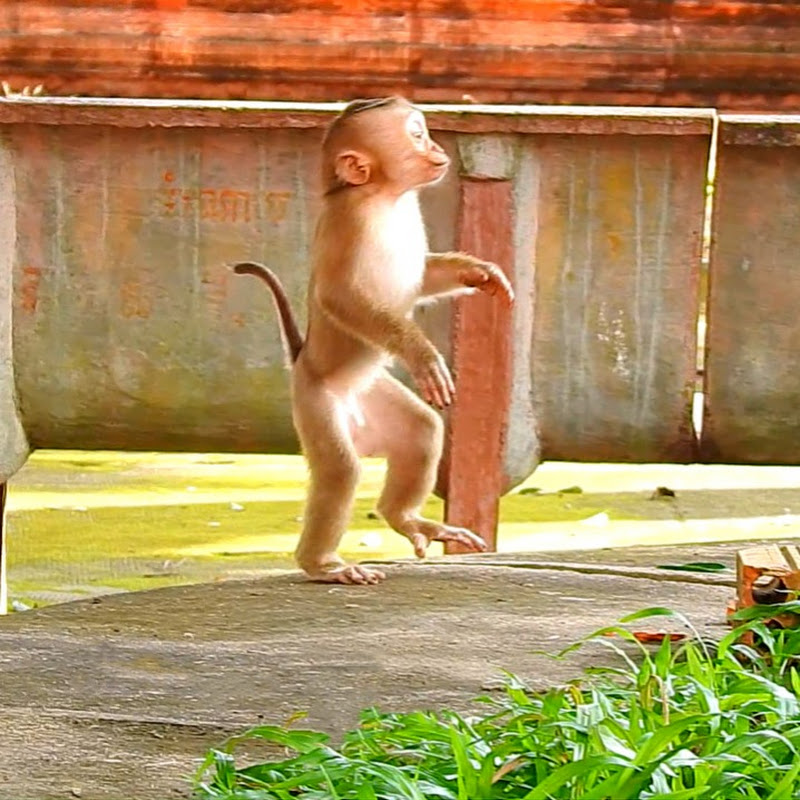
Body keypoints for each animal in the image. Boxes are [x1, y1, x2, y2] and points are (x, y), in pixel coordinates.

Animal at [234, 96, 513, 585]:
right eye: (416, 135)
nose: (436, 147)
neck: (385, 197)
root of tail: (301, 358)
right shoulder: (350, 222)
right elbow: (341, 297)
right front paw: (422, 354)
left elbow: (422, 277)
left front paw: (480, 272)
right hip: (316, 403)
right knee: (340, 470)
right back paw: (323, 564)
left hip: (374, 397)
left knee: (421, 430)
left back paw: (406, 518)